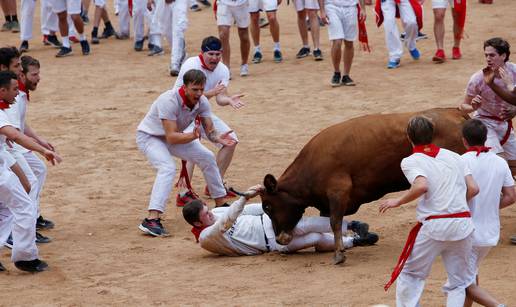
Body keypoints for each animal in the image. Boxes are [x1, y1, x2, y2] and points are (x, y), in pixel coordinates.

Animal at [260, 107, 466, 264]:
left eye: (268, 206)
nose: (279, 239)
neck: (310, 166)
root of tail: (455, 113)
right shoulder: (328, 203)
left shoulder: (338, 191)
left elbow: (334, 222)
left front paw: (339, 254)